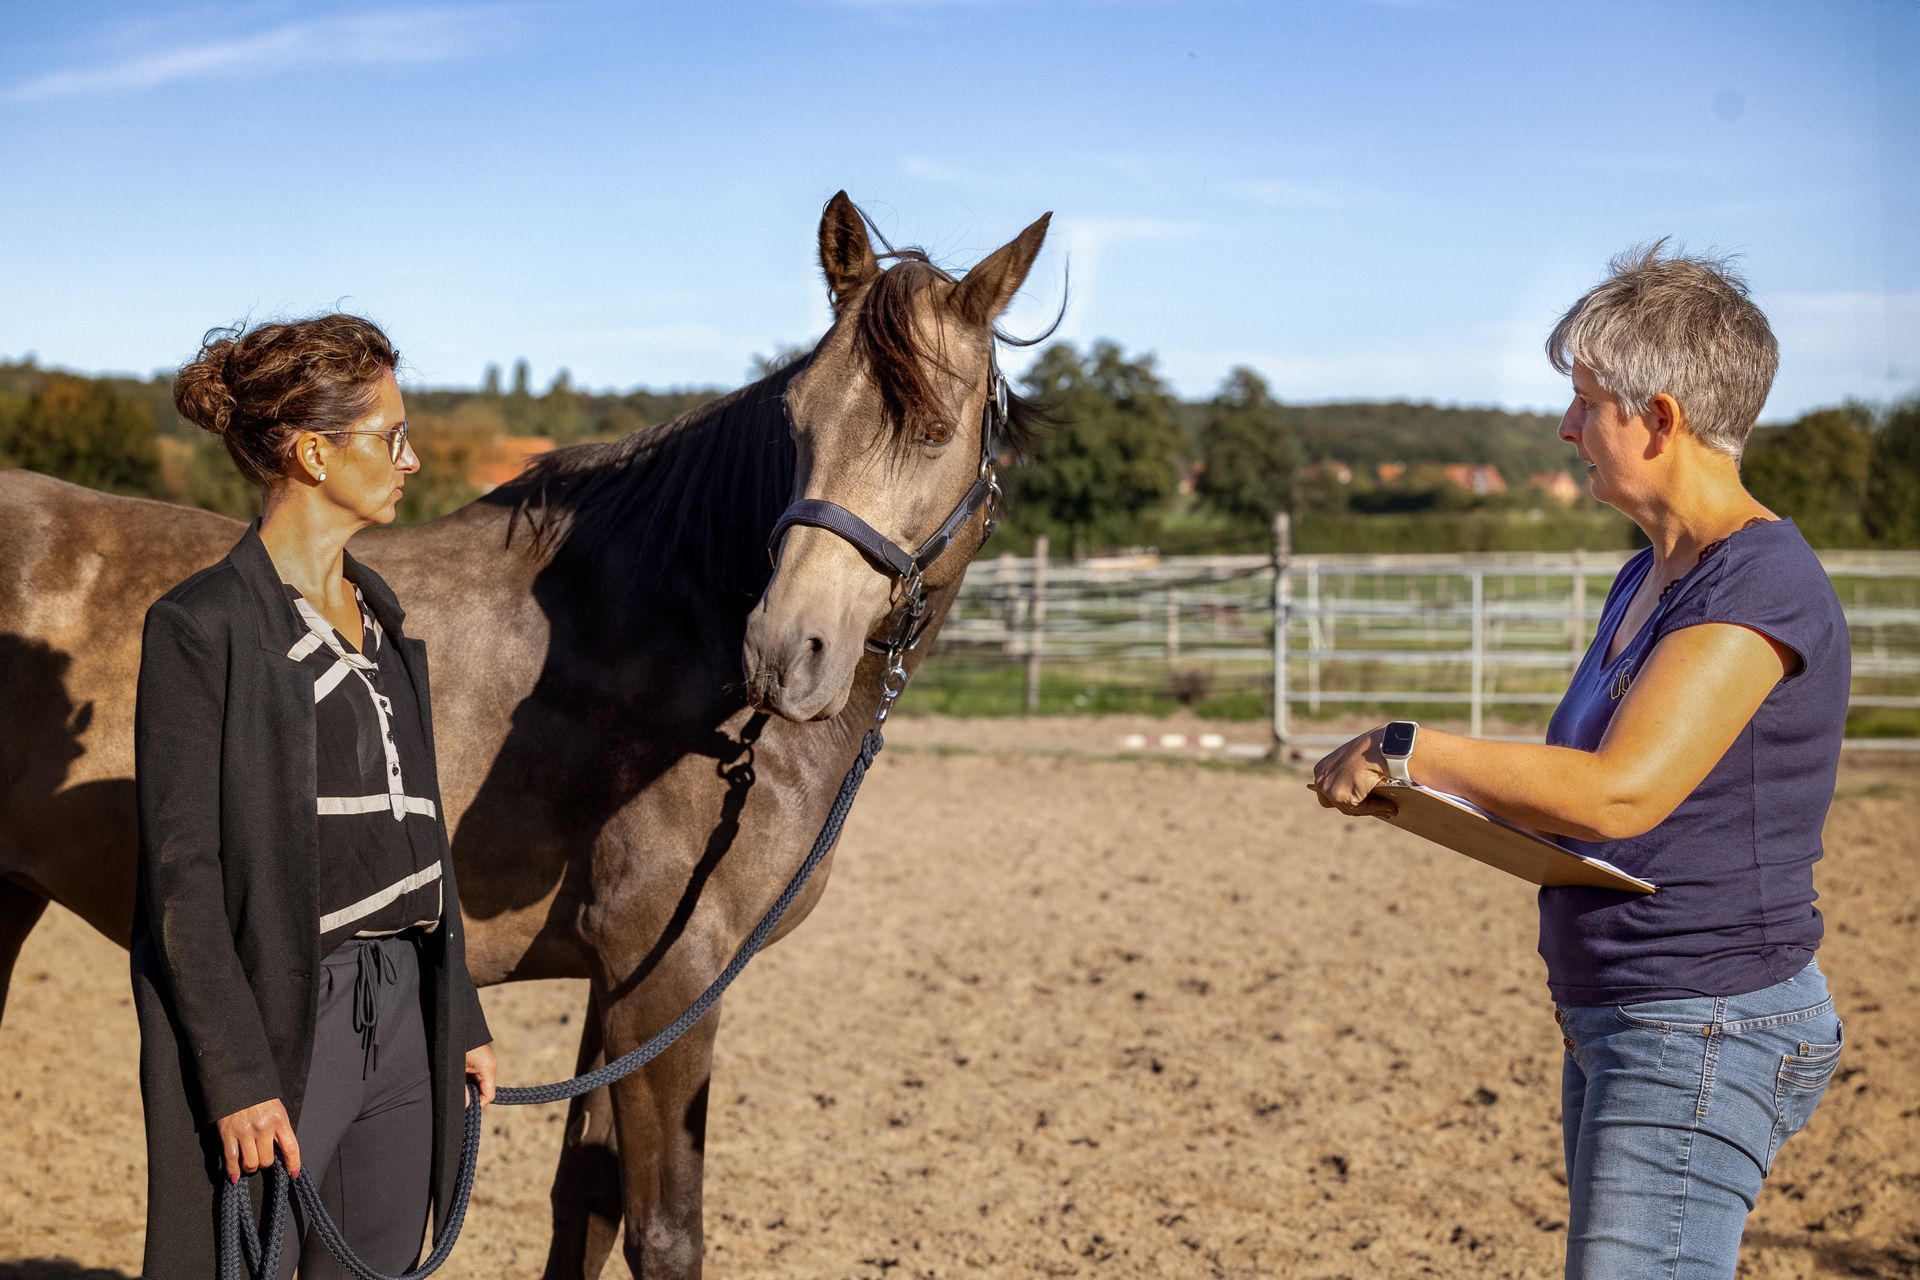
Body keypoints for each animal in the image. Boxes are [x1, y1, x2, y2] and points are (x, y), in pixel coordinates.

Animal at [0, 191, 1051, 1278]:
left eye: (933, 430)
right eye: (798, 424)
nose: (783, 649)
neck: (670, 636)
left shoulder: (622, 983)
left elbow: (583, 1203)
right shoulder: (670, 978)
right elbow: (663, 1230)